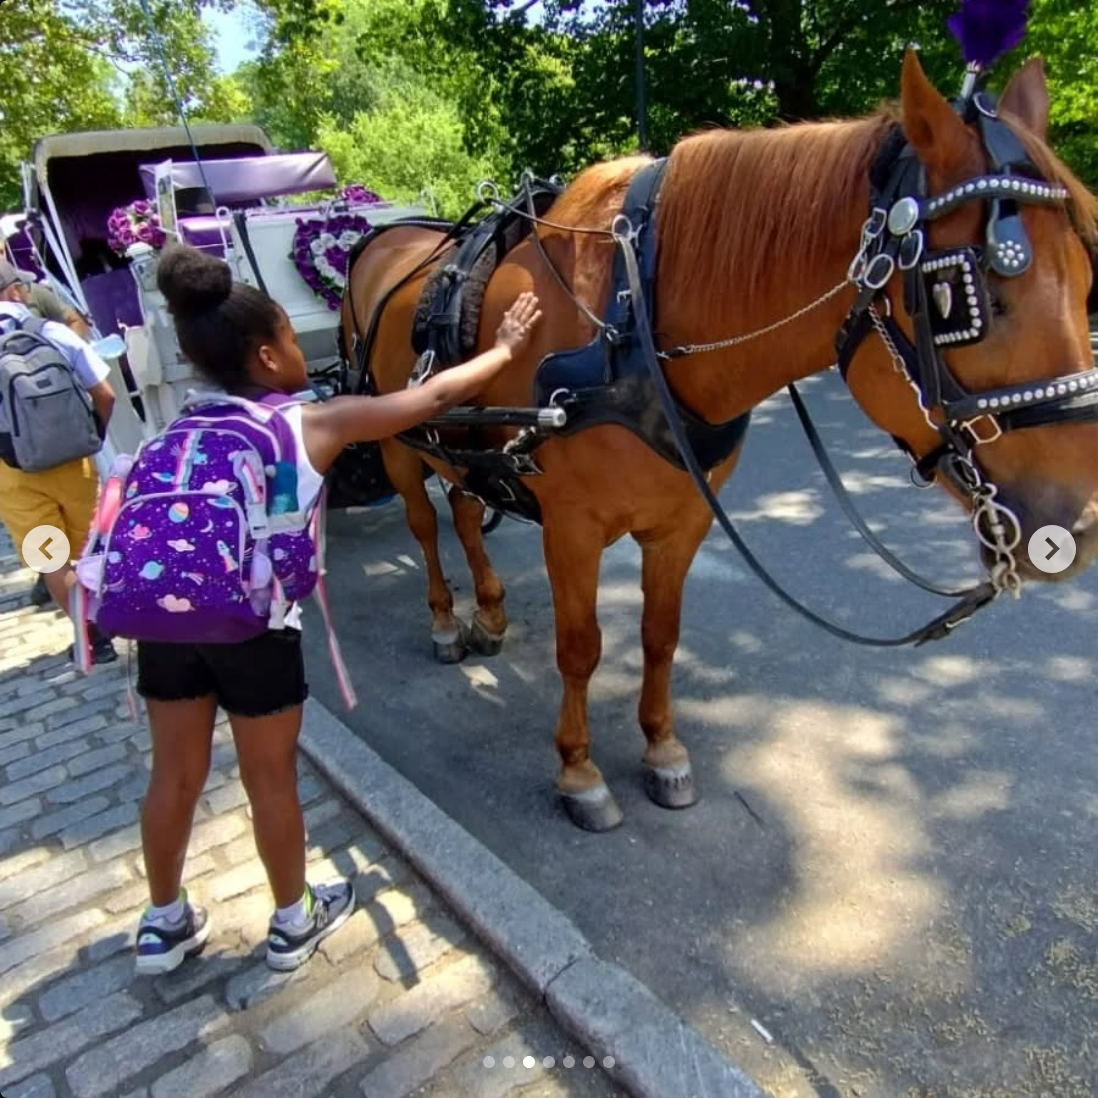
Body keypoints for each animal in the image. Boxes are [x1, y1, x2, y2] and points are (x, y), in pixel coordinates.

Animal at [341, 51, 1098, 831]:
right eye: (961, 299)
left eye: (1086, 279)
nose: (1076, 524)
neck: (634, 319)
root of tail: (387, 237)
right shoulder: (572, 529)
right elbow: (581, 647)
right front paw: (580, 771)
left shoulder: (682, 522)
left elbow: (660, 635)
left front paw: (662, 749)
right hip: (397, 441)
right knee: (425, 524)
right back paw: (443, 622)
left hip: (458, 444)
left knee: (466, 509)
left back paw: (487, 614)